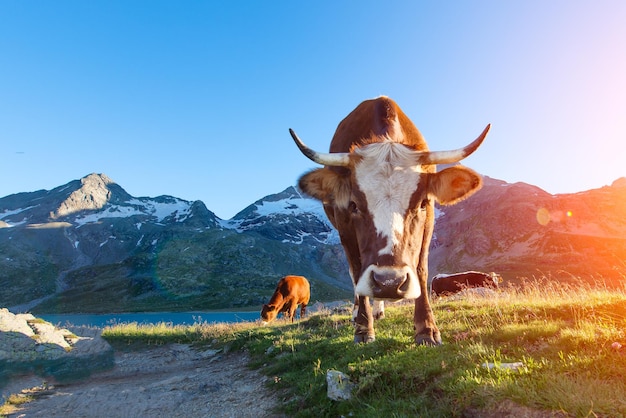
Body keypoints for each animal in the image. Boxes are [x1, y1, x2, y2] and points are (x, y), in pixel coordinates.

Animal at [288, 96, 488, 344]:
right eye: (354, 205)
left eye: (422, 204)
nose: (389, 282)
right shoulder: (343, 224)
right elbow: (357, 270)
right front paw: (363, 328)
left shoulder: (430, 219)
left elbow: (421, 268)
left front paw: (427, 329)